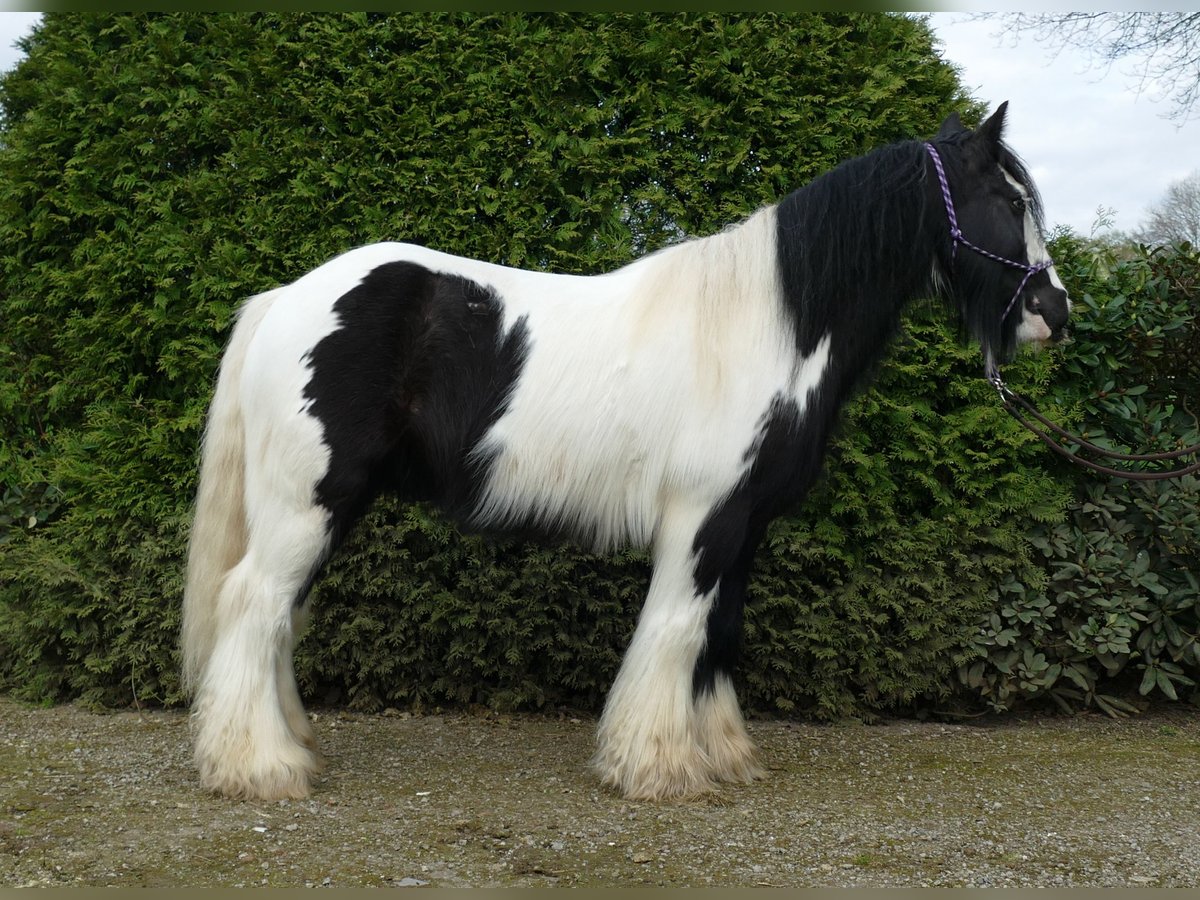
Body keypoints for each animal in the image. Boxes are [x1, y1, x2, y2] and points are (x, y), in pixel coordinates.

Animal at [177, 103, 1070, 801]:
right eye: (1005, 197)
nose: (1053, 312)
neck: (766, 326)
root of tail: (285, 299)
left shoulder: (744, 527)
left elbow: (720, 635)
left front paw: (724, 755)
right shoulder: (702, 518)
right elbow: (676, 631)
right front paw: (658, 765)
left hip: (319, 506)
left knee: (276, 614)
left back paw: (290, 747)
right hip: (308, 501)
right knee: (253, 602)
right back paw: (258, 769)